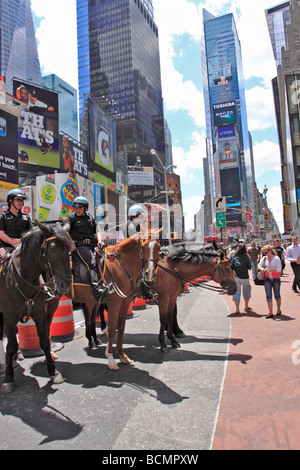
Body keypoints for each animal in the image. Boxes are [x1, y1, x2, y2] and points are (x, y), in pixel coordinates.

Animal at [0, 222, 73, 392]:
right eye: (52, 249)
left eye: (69, 249)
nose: (65, 284)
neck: (24, 278)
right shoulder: (9, 317)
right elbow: (11, 346)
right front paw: (8, 378)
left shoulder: (39, 313)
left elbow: (45, 342)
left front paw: (53, 372)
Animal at [47, 237, 161, 370]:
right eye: (142, 247)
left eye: (158, 248)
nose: (150, 274)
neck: (121, 266)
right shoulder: (114, 304)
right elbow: (112, 329)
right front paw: (111, 359)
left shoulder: (124, 304)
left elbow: (121, 328)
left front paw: (122, 355)